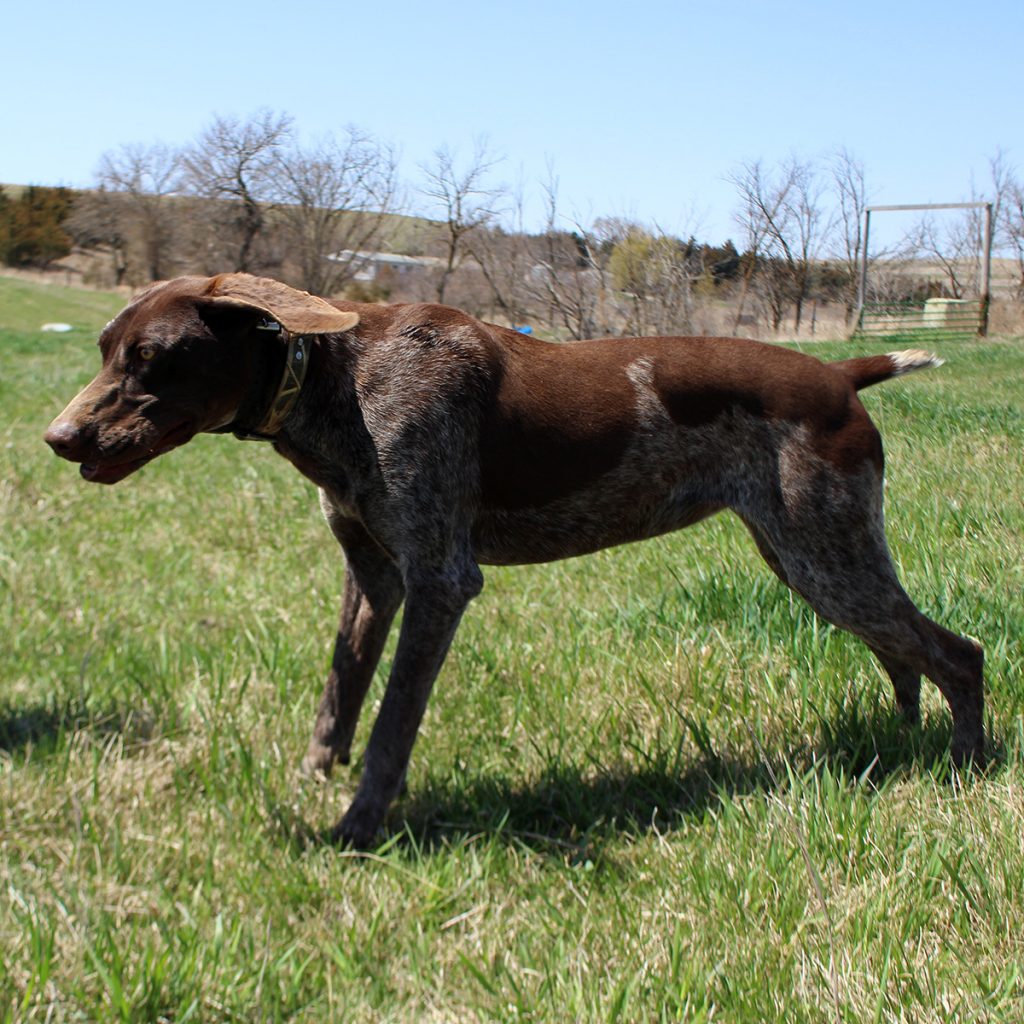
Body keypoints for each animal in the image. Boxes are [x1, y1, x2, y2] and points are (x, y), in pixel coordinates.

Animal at [46, 274, 983, 847]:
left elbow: (391, 725)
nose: (58, 437)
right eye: (104, 349)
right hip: (812, 559)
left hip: (825, 556)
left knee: (958, 652)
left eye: (153, 359)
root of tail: (841, 374)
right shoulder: (373, 575)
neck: (338, 380)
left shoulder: (439, 580)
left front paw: (357, 829)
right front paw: (313, 780)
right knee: (904, 652)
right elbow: (340, 695)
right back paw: (901, 740)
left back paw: (967, 767)